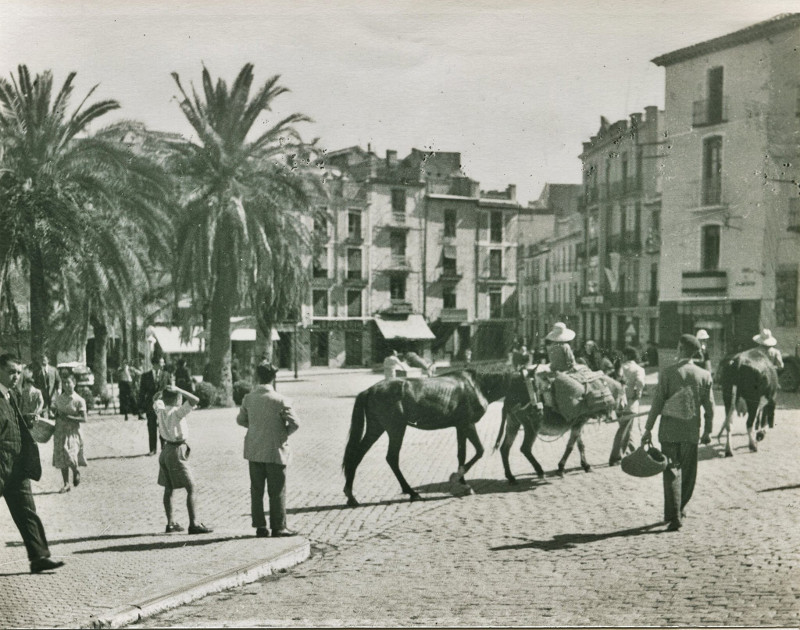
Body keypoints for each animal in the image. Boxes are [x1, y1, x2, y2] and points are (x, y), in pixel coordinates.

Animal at [340, 370, 510, 508]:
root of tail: (369, 390)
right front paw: (456, 477)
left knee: (358, 455)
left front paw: (464, 484)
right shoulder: (468, 425)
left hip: (376, 428)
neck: (476, 385)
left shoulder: (460, 427)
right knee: (392, 458)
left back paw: (351, 496)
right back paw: (412, 493)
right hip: (396, 429)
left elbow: (461, 455)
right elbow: (480, 451)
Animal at [494, 366, 624, 484]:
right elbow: (570, 446)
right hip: (531, 426)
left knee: (505, 448)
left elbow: (580, 445)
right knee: (525, 448)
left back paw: (511, 477)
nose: (622, 410)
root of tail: (508, 398)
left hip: (513, 424)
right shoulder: (578, 423)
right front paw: (561, 468)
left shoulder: (578, 422)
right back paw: (539, 471)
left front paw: (586, 465)